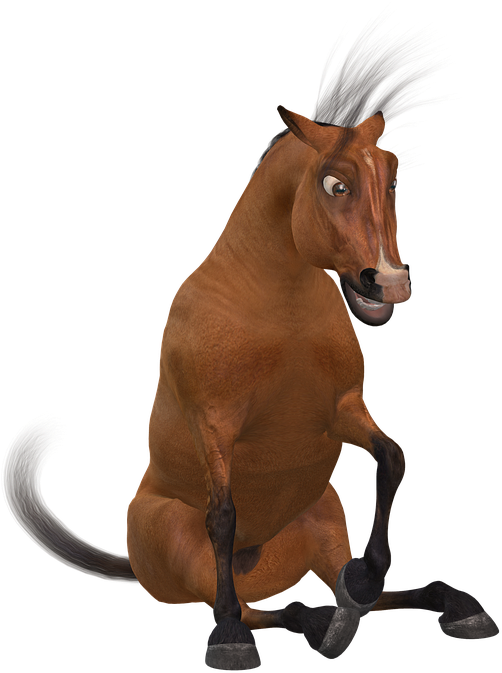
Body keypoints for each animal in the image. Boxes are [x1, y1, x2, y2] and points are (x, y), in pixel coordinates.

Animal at [3, 6, 499, 671]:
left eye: (392, 183)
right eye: (334, 184)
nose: (389, 284)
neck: (280, 312)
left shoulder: (343, 409)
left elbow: (392, 458)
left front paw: (368, 577)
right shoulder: (214, 423)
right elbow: (224, 515)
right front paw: (229, 641)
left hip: (322, 524)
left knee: (349, 590)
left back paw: (433, 604)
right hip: (183, 554)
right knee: (252, 601)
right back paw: (293, 624)